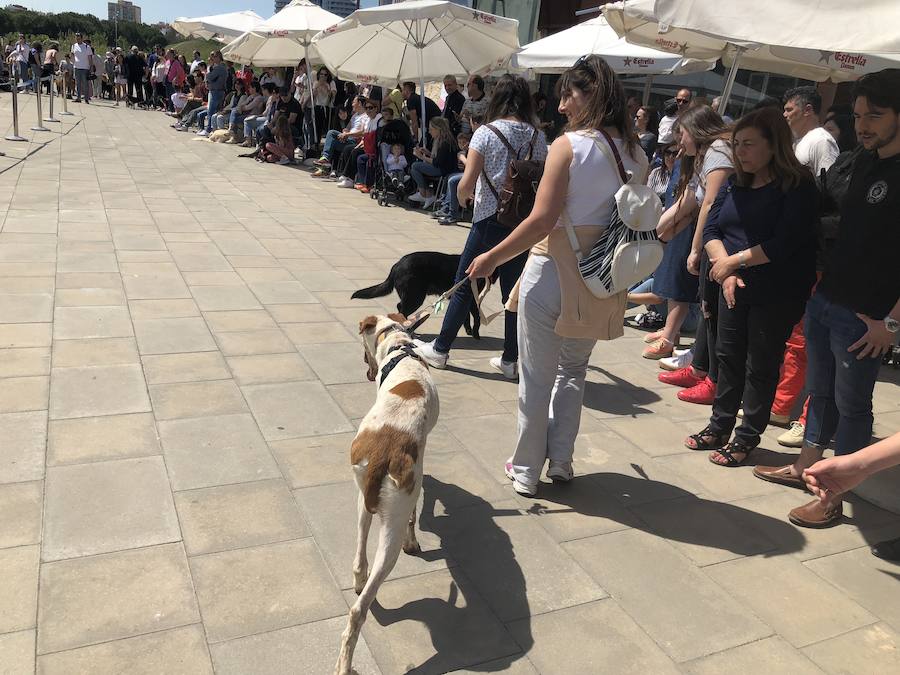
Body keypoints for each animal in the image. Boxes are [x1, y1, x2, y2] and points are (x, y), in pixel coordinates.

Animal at [334, 316, 440, 675]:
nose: (365, 368)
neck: (400, 348)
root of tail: (383, 453)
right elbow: (416, 513)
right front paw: (415, 540)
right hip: (392, 524)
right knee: (359, 608)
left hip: (361, 497)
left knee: (359, 563)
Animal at [352, 252, 488, 340]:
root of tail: (397, 265)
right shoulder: (472, 299)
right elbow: (476, 317)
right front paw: (476, 334)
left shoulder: (464, 299)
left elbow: (465, 316)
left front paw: (468, 330)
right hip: (415, 297)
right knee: (401, 308)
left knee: (400, 307)